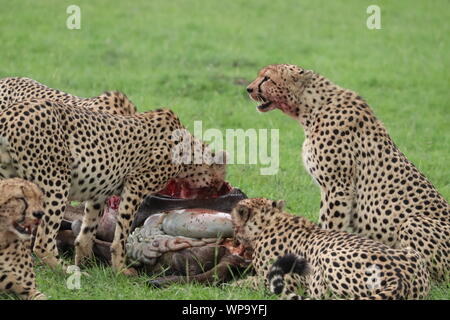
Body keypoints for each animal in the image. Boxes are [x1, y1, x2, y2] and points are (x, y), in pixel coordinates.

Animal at [0, 99, 225, 274]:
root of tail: (10, 113)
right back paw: (68, 272)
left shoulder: (98, 195)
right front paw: (120, 270)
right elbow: (122, 234)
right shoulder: (135, 185)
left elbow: (87, 233)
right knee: (43, 241)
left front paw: (87, 263)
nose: (220, 189)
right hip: (56, 183)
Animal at [234, 198, 430, 300]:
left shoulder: (287, 280)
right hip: (413, 253)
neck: (270, 221)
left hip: (325, 258)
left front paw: (231, 284)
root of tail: (398, 277)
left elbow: (248, 282)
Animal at [246, 63, 450, 280]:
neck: (310, 107)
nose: (248, 89)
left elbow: (328, 225)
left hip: (412, 223)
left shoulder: (337, 186)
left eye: (267, 78)